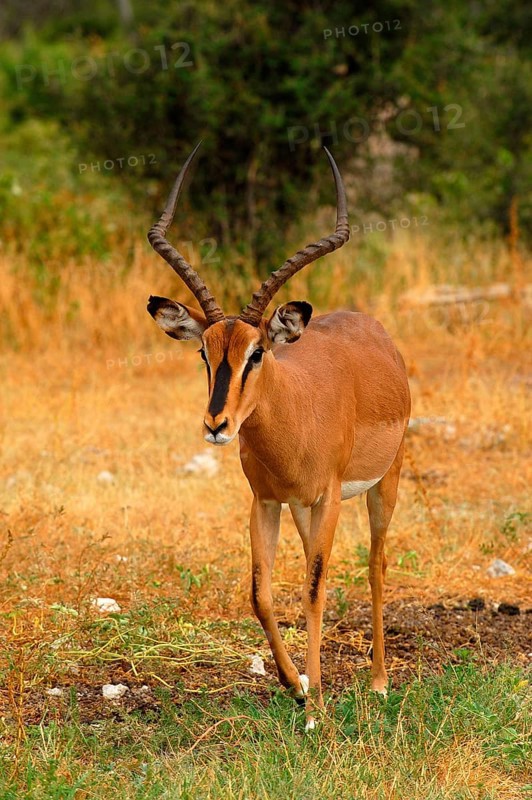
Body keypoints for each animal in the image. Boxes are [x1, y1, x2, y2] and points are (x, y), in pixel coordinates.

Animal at [147, 142, 411, 730]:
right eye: (204, 354)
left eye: (257, 353)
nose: (217, 425)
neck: (296, 415)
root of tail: (375, 330)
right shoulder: (266, 501)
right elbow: (262, 594)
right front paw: (297, 687)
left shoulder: (329, 496)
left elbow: (312, 589)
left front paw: (316, 712)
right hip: (301, 510)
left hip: (383, 484)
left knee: (376, 564)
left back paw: (379, 682)